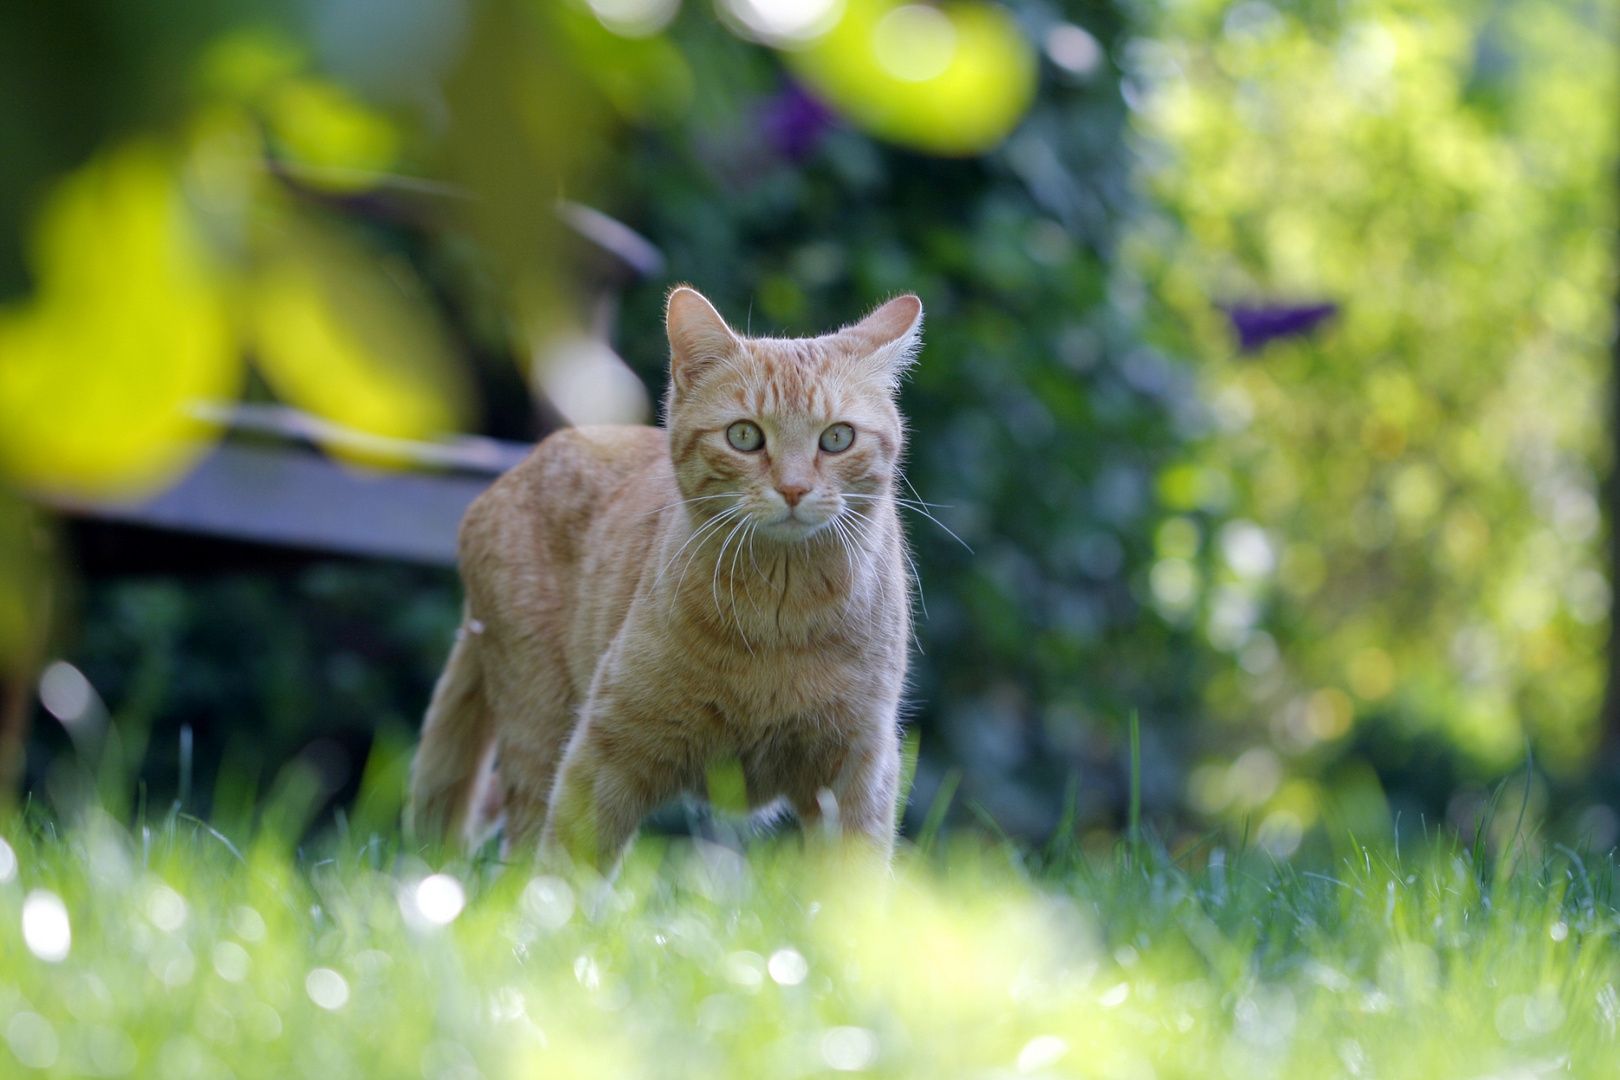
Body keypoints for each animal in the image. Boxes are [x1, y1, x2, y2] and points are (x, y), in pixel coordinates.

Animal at [408, 286, 926, 867]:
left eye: (837, 438)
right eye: (744, 436)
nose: (794, 489)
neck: (781, 612)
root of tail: (515, 470)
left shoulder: (860, 768)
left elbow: (856, 882)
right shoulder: (605, 752)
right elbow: (563, 873)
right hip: (539, 728)